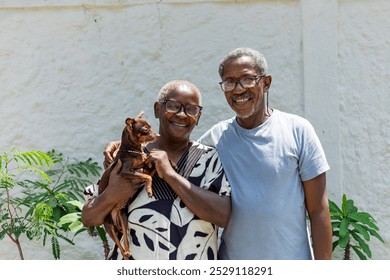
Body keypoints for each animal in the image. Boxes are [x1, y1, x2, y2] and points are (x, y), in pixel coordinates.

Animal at [97, 110, 157, 260]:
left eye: (151, 127)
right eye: (146, 130)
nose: (158, 135)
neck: (133, 151)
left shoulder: (143, 165)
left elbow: (149, 167)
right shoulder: (125, 172)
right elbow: (147, 176)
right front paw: (149, 189)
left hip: (123, 219)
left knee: (125, 239)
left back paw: (128, 251)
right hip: (109, 226)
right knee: (119, 245)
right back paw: (125, 253)